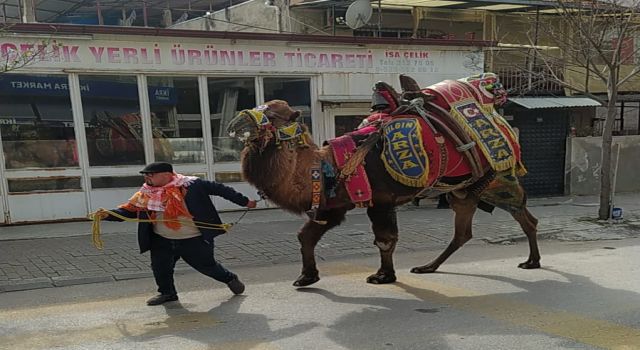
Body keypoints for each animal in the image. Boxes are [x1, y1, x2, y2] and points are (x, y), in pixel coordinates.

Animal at [228, 73, 536, 288]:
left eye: (271, 114)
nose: (236, 123)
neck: (330, 167)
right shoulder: (334, 205)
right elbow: (306, 236)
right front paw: (306, 277)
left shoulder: (381, 200)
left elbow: (385, 240)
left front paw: (382, 276)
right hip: (463, 192)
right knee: (465, 232)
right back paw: (428, 267)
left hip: (498, 180)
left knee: (523, 215)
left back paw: (532, 261)